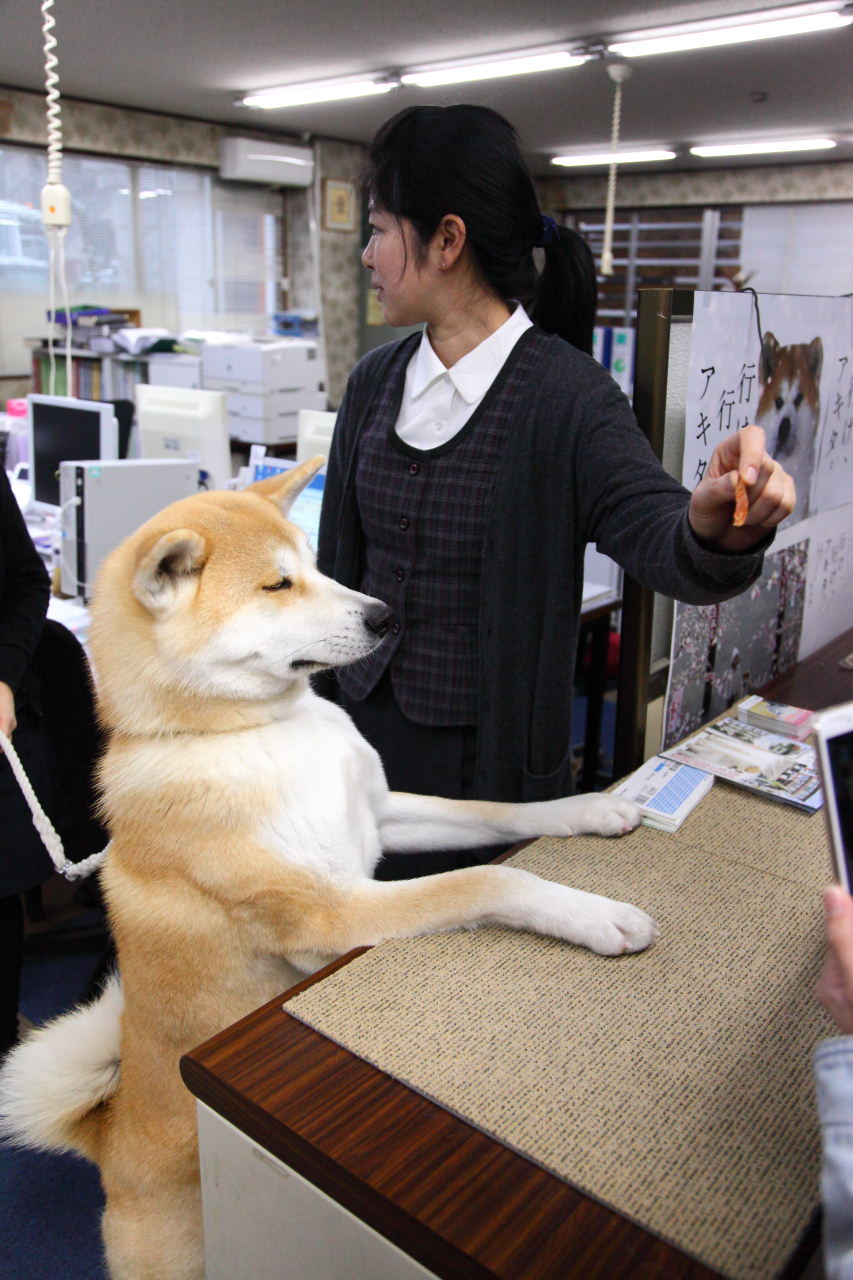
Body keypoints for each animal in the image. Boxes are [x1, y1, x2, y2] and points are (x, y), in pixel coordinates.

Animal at [0, 460, 653, 1280]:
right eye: (278, 585)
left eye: (314, 565)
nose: (386, 616)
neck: (266, 731)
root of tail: (109, 1139)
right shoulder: (332, 911)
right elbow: (489, 879)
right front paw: (598, 915)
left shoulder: (378, 815)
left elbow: (495, 812)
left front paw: (588, 808)